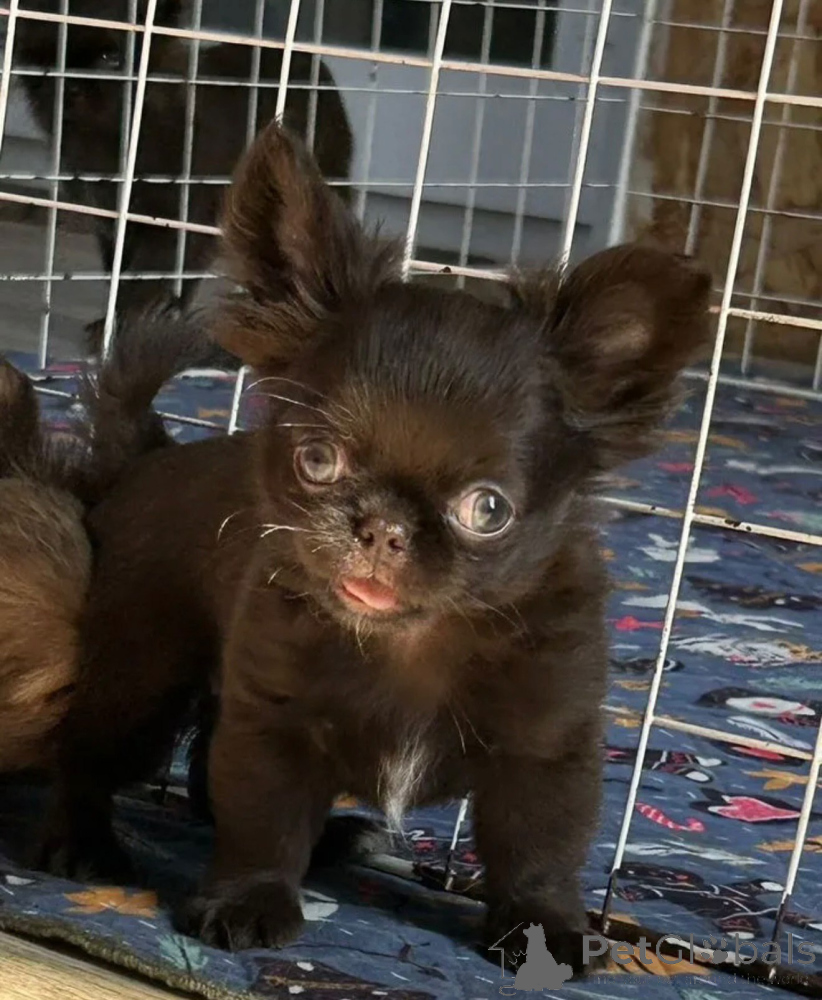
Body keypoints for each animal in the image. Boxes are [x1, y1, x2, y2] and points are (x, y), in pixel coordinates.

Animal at [15, 0, 353, 357]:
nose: (71, 85)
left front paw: (123, 329)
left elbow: (142, 277)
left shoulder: (172, 224)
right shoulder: (112, 223)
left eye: (112, 57)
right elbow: (119, 274)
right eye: (43, 58)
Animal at [41, 123, 712, 973]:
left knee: (196, 778)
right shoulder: (277, 727)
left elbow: (540, 851)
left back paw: (336, 841)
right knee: (90, 754)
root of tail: (150, 452)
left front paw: (545, 929)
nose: (382, 526)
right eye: (318, 460)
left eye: (487, 509)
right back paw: (81, 841)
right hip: (142, 680)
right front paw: (247, 900)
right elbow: (262, 820)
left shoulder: (545, 749)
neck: (408, 643)